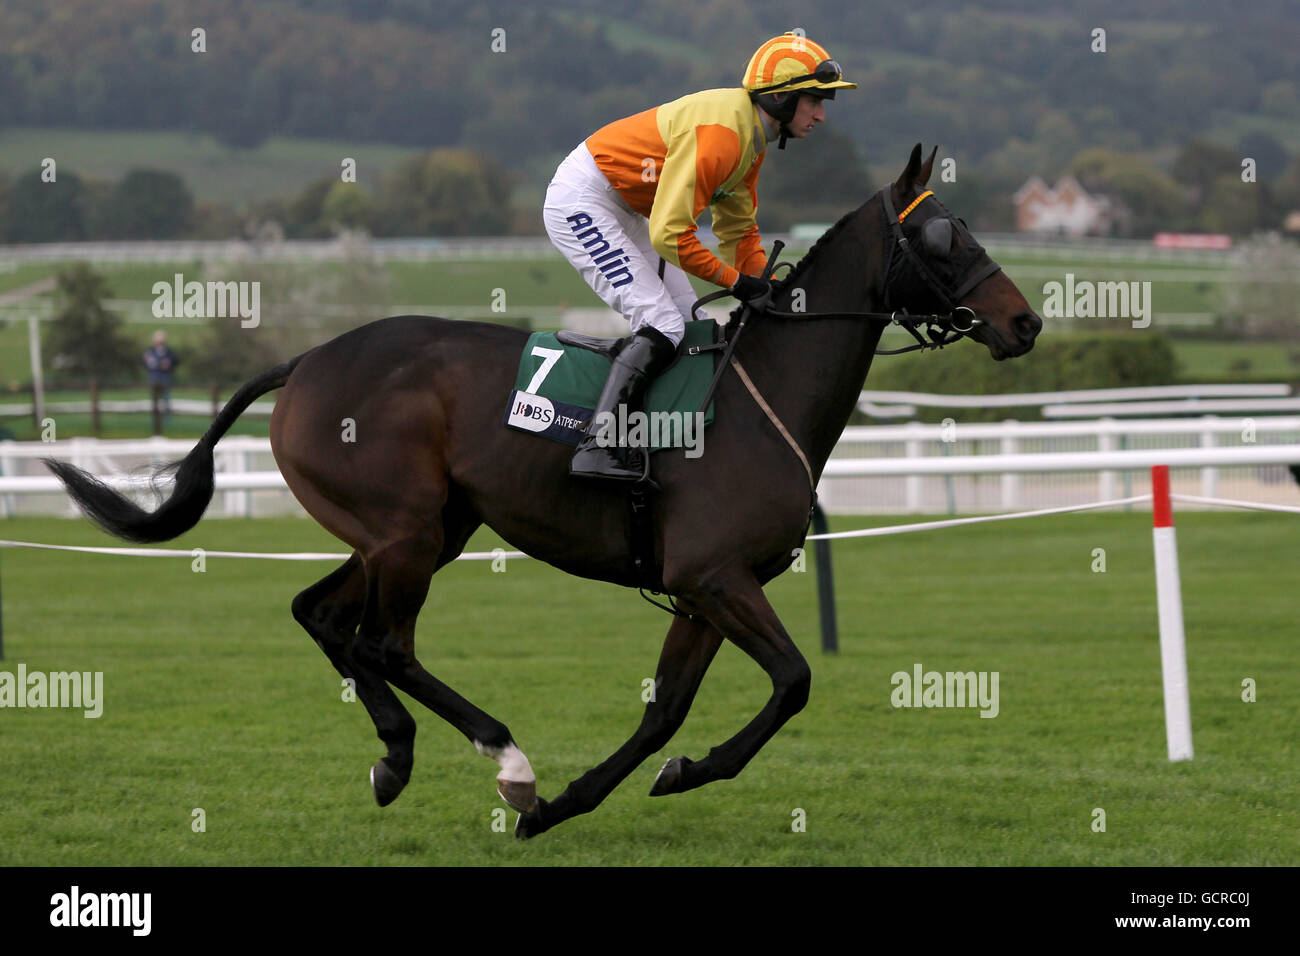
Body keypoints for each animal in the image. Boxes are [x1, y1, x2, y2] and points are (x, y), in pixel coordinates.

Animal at [45, 143, 1040, 837]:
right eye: (945, 236)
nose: (1025, 322)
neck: (764, 398)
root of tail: (308, 360)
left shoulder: (701, 591)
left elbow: (663, 713)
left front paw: (593, 797)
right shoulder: (717, 575)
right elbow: (793, 681)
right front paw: (582, 788)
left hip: (416, 531)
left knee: (322, 616)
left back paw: (397, 757)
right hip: (406, 534)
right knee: (382, 643)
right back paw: (503, 756)